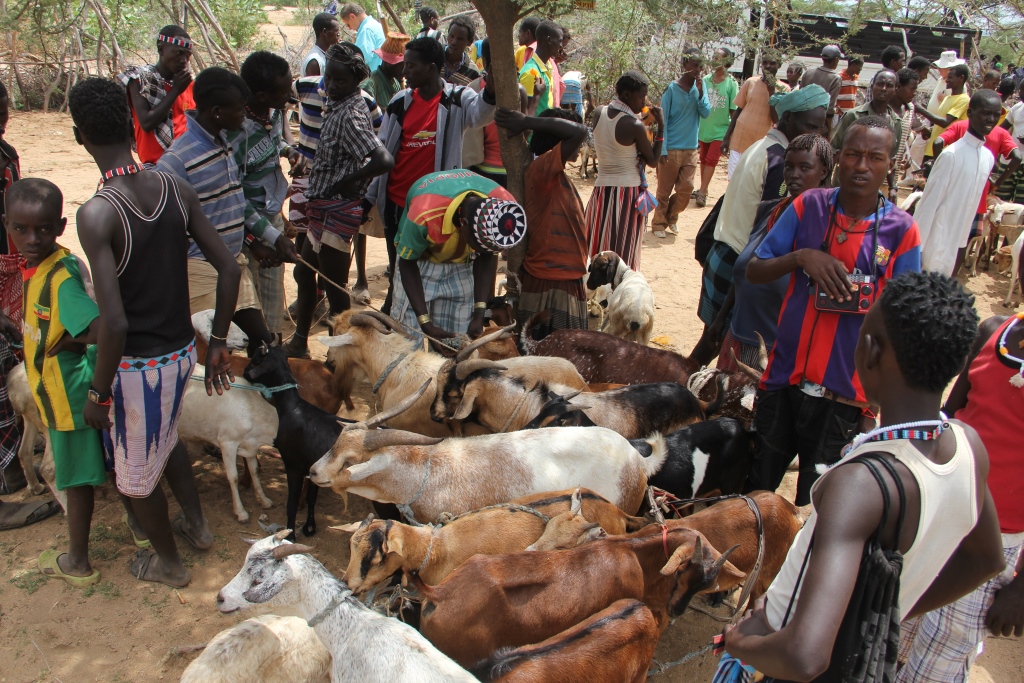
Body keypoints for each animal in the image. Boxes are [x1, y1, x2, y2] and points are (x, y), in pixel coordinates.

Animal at [178, 365, 277, 523]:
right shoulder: (227, 443)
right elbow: (233, 477)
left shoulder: (250, 444)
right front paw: (240, 512)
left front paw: (264, 500)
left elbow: (254, 470)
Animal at [243, 341, 431, 539]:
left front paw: (290, 536)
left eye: (256, 358)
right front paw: (309, 527)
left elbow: (291, 505)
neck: (293, 408)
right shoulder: (312, 468)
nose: (245, 372)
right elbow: (311, 498)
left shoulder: (293, 465)